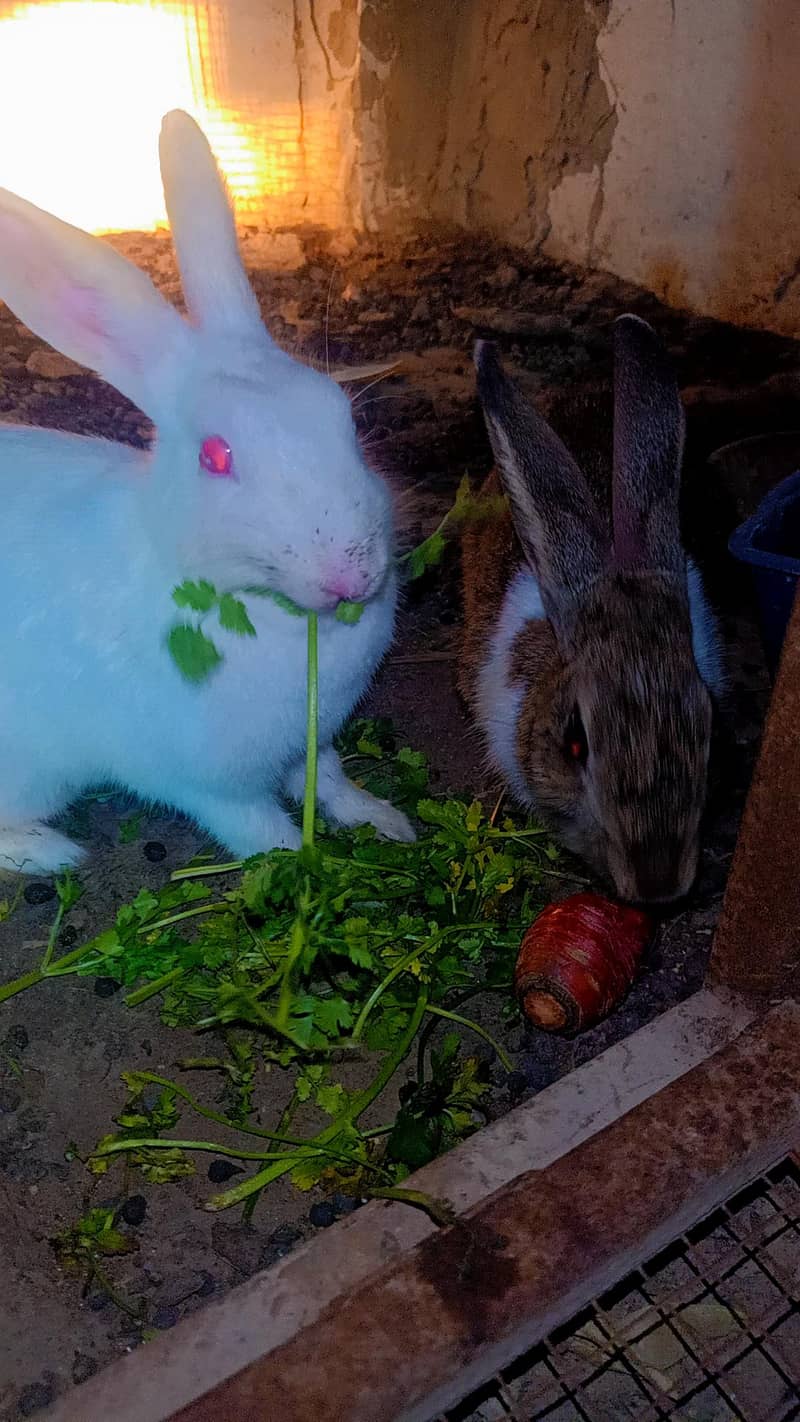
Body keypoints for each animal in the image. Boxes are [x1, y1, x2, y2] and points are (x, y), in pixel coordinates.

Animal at [0, 109, 414, 875]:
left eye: (341, 413)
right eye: (216, 457)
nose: (352, 574)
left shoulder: (308, 741)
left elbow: (330, 778)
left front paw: (384, 821)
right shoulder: (203, 781)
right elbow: (259, 828)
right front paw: (306, 868)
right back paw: (48, 852)